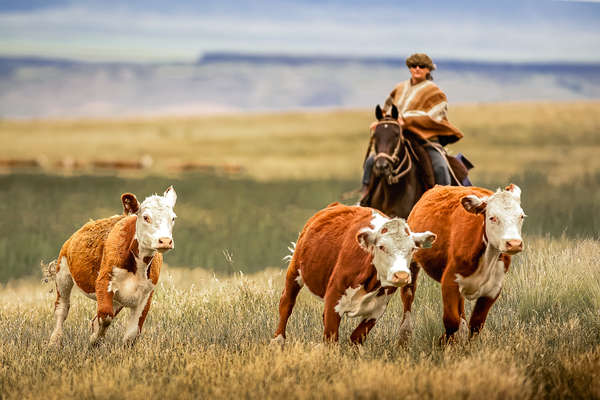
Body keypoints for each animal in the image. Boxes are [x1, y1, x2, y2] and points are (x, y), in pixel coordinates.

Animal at [45, 186, 177, 346]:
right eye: (146, 217)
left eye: (173, 218)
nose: (165, 241)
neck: (138, 266)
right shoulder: (104, 282)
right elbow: (106, 316)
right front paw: (94, 339)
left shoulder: (146, 294)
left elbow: (132, 333)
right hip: (63, 273)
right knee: (62, 308)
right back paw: (54, 340)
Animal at [274, 202, 436, 346]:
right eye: (381, 247)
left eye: (412, 249)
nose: (401, 275)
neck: (370, 282)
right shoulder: (334, 298)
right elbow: (331, 339)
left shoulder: (377, 308)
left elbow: (356, 337)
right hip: (295, 270)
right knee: (286, 303)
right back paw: (278, 340)